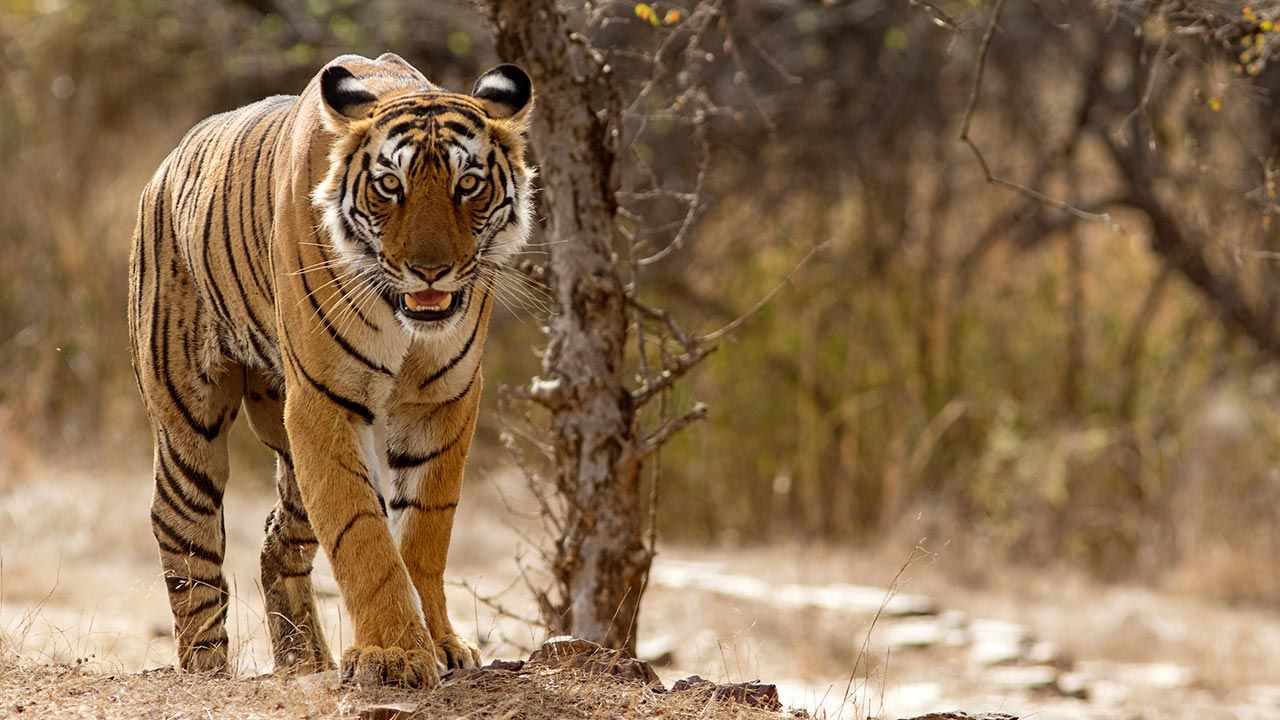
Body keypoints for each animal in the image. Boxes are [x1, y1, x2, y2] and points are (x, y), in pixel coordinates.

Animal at [127, 53, 534, 687]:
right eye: (390, 186)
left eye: (468, 184)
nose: (430, 271)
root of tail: (166, 165)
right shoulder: (324, 401)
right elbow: (361, 532)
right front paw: (394, 654)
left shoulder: (444, 399)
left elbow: (423, 530)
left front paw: (440, 644)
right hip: (188, 421)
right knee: (184, 534)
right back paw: (207, 669)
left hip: (288, 453)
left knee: (278, 542)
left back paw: (304, 661)